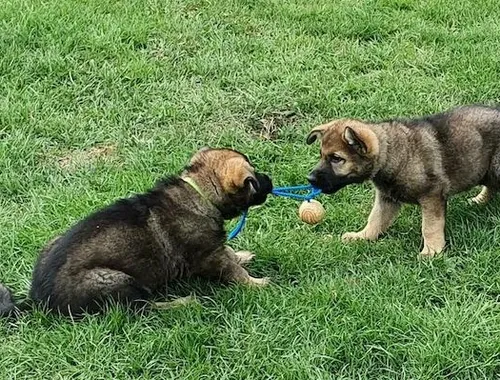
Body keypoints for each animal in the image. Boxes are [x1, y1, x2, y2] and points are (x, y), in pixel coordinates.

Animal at [0, 147, 274, 316]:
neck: (199, 192)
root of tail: (39, 301)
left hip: (52, 243)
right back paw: (183, 303)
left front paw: (242, 256)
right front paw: (257, 283)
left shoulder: (214, 249)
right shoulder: (208, 255)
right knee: (142, 308)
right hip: (115, 281)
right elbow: (232, 270)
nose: (270, 179)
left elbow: (228, 251)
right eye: (254, 179)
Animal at [306, 104, 500, 258]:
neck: (394, 154)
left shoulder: (432, 196)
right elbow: (375, 219)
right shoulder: (386, 198)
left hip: (496, 168)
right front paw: (363, 236)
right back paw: (479, 200)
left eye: (336, 158)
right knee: (491, 186)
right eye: (321, 155)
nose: (310, 178)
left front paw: (432, 251)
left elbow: (430, 226)